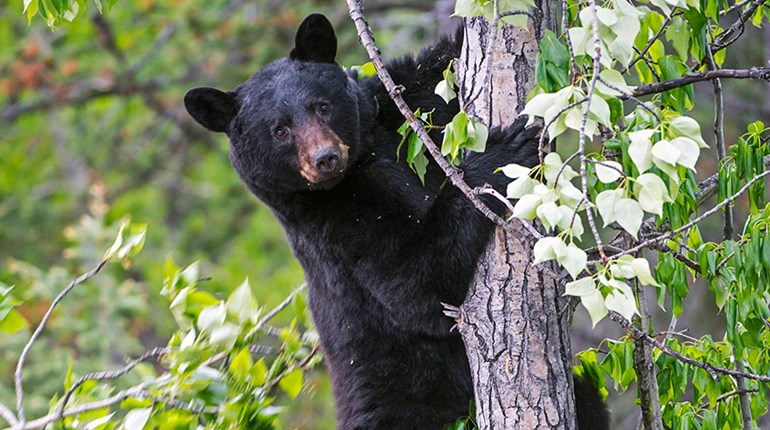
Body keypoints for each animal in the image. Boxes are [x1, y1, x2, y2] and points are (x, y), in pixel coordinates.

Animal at [184, 13, 609, 430]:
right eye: (279, 130)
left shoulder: (392, 111)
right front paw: (497, 155)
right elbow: (413, 285)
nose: (325, 158)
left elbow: (434, 76)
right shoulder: (336, 225)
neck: (360, 164)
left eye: (321, 106)